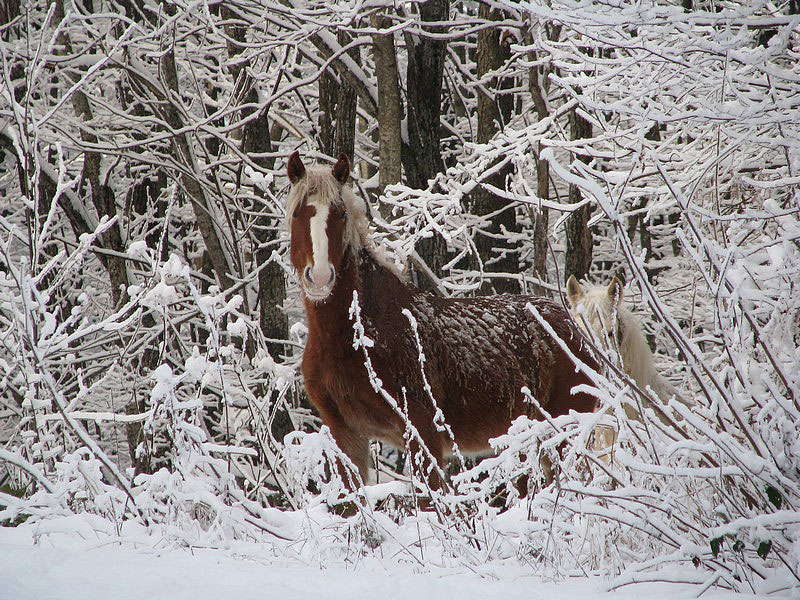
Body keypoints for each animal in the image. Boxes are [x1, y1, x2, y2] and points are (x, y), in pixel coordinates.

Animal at [284, 152, 596, 490]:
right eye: (298, 214)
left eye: (340, 215)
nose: (320, 277)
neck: (358, 335)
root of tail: (574, 329)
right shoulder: (345, 433)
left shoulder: (423, 435)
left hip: (563, 433)